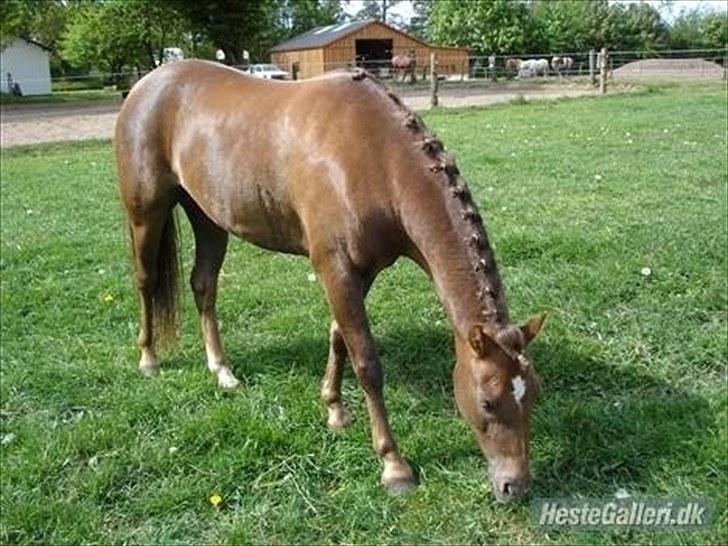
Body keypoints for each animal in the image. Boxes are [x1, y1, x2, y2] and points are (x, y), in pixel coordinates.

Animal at [114, 59, 544, 498]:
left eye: (534, 395)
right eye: (487, 401)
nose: (515, 485)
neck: (375, 158)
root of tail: (147, 84)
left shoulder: (361, 272)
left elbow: (339, 336)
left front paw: (334, 409)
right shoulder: (333, 268)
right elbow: (367, 362)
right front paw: (393, 465)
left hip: (208, 217)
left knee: (204, 285)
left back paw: (222, 371)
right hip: (146, 211)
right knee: (146, 280)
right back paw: (149, 358)